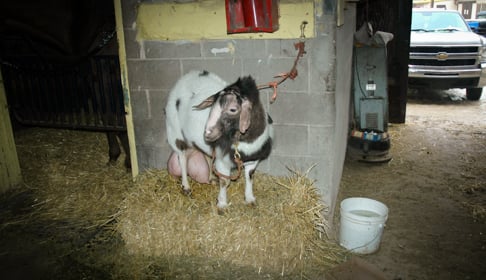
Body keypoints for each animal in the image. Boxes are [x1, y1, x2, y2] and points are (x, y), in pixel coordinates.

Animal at [165, 70, 274, 210]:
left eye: (233, 109)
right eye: (212, 107)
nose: (207, 133)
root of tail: (187, 76)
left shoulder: (252, 160)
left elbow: (249, 177)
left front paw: (250, 199)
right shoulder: (223, 160)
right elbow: (224, 181)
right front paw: (222, 204)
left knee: (207, 156)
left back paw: (211, 178)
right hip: (175, 132)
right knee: (182, 158)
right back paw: (186, 187)